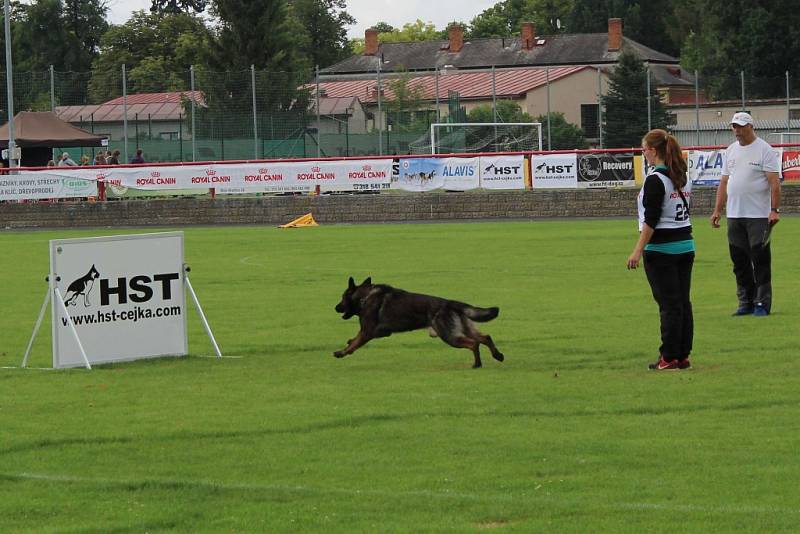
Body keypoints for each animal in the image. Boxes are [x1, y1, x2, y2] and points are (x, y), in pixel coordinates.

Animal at [334, 276, 504, 368]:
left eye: (342, 297)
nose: (335, 307)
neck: (364, 297)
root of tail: (452, 303)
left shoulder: (367, 331)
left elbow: (355, 344)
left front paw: (341, 352)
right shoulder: (377, 332)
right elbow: (354, 340)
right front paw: (347, 344)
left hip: (450, 336)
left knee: (474, 343)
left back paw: (477, 364)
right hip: (463, 330)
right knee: (485, 337)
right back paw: (498, 355)